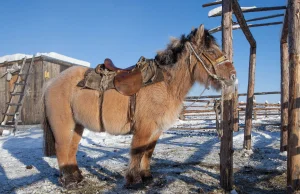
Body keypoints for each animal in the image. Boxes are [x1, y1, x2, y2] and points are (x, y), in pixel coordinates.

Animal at [42, 23, 237, 188]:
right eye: (211, 50)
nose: (233, 76)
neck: (164, 83)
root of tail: (51, 83)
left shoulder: (156, 130)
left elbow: (148, 152)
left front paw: (146, 175)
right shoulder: (144, 129)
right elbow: (137, 152)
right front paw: (134, 179)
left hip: (77, 126)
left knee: (71, 150)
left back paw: (77, 177)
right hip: (63, 125)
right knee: (62, 148)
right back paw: (69, 182)